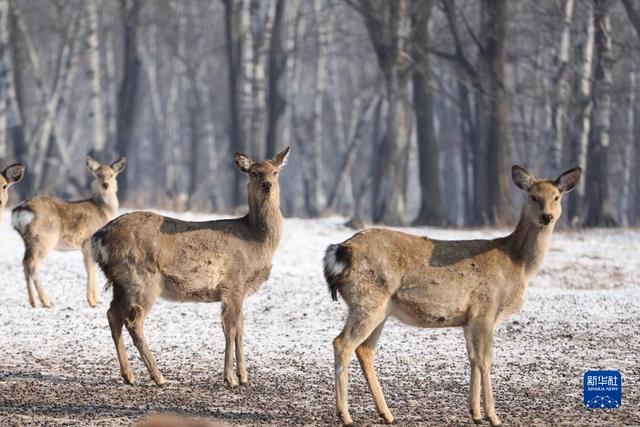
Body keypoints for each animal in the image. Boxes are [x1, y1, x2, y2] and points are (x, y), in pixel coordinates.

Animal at [12, 157, 126, 308]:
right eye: (98, 175)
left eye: (112, 175)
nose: (105, 184)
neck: (103, 210)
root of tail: (22, 210)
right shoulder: (87, 242)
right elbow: (90, 270)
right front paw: (92, 302)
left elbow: (92, 269)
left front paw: (96, 300)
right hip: (45, 238)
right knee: (32, 263)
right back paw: (46, 301)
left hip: (28, 240)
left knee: (24, 262)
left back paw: (33, 302)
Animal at [90, 147, 290, 388]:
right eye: (254, 172)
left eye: (275, 172)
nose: (267, 184)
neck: (255, 242)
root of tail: (99, 237)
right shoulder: (233, 282)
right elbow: (231, 329)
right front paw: (231, 378)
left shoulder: (238, 290)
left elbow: (240, 330)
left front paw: (244, 376)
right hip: (141, 279)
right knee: (133, 321)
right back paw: (159, 377)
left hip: (121, 283)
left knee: (112, 315)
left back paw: (129, 376)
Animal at [322, 166, 584, 426]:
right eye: (533, 196)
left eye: (556, 197)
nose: (547, 216)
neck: (518, 264)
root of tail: (341, 251)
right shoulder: (486, 308)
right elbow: (486, 360)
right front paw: (493, 416)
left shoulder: (469, 319)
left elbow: (473, 358)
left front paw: (475, 413)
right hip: (368, 300)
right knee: (343, 343)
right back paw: (346, 415)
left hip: (381, 307)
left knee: (365, 350)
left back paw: (386, 414)